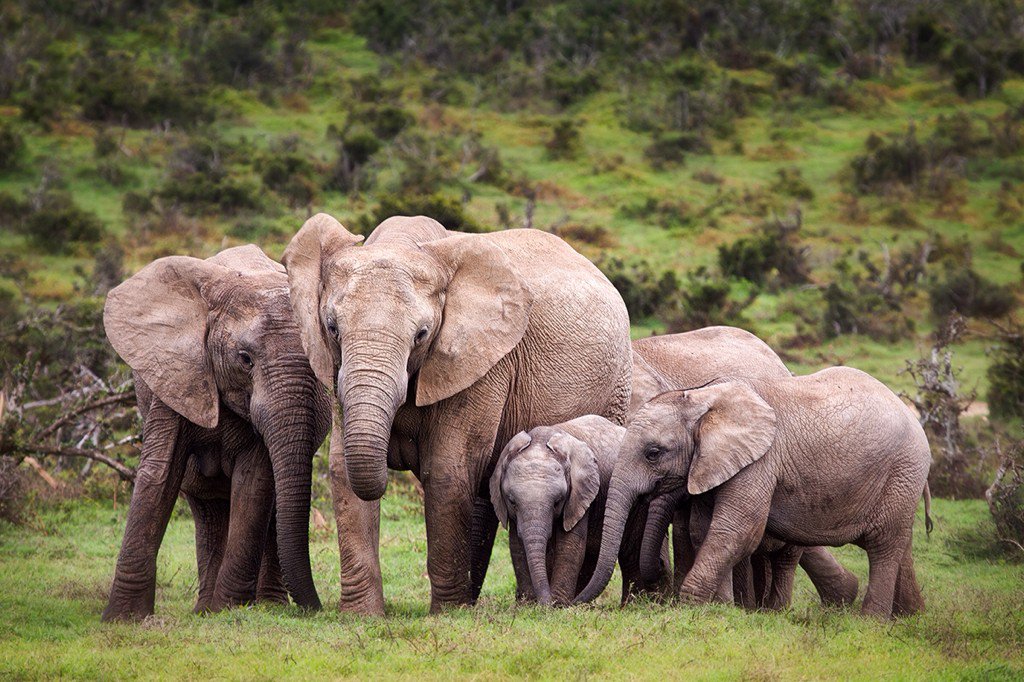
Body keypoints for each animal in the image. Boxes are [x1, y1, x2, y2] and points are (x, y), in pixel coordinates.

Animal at [101, 245, 331, 622]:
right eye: (245, 359)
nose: (319, 610)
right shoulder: (178, 374)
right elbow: (159, 474)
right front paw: (123, 619)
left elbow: (254, 483)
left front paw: (229, 609)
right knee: (207, 509)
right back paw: (203, 610)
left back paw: (258, 605)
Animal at [283, 214, 633, 613]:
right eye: (332, 327)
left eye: (421, 334)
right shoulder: (334, 367)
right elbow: (343, 469)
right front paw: (363, 616)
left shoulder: (483, 361)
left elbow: (447, 471)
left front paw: (446, 613)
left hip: (615, 388)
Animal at [576, 366, 933, 619]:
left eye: (653, 453)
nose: (575, 604)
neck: (705, 399)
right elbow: (703, 530)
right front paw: (718, 608)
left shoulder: (761, 460)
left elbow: (735, 529)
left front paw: (691, 605)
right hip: (902, 480)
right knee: (900, 544)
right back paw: (910, 616)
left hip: (903, 469)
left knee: (883, 545)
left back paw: (871, 622)